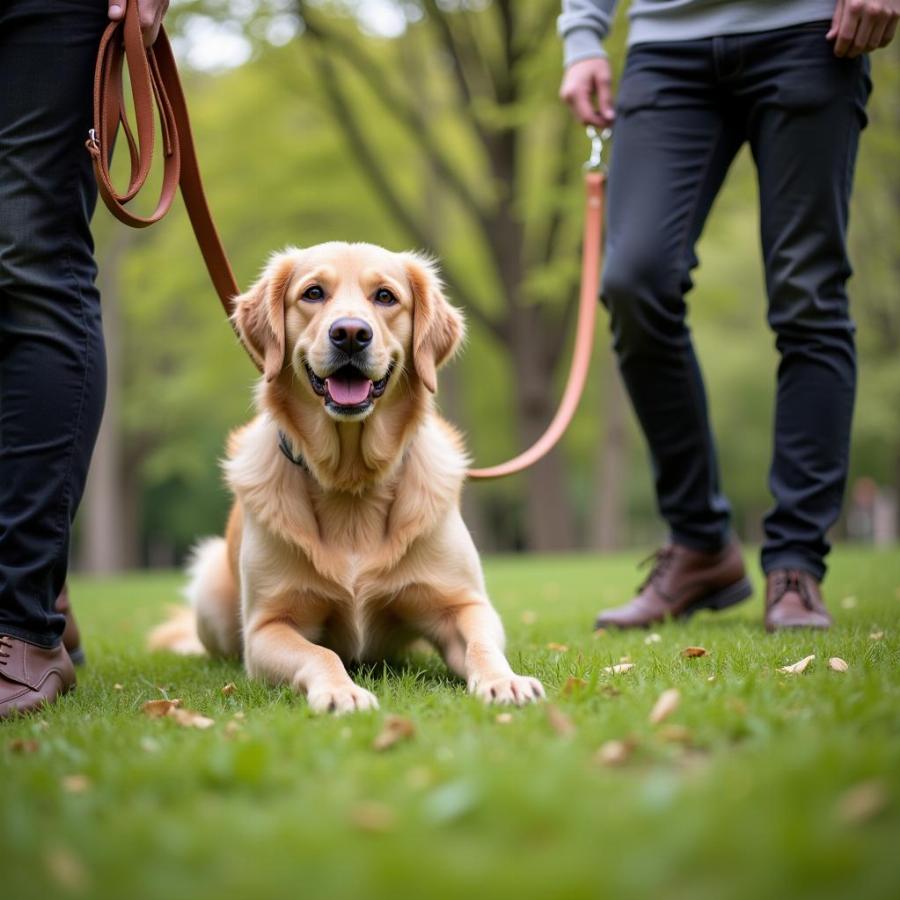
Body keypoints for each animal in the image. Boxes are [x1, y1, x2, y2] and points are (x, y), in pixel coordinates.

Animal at [149, 243, 540, 712]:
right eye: (313, 293)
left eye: (385, 296)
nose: (351, 333)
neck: (351, 480)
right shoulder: (267, 626)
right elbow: (321, 654)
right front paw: (342, 691)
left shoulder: (464, 604)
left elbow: (484, 646)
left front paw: (506, 681)